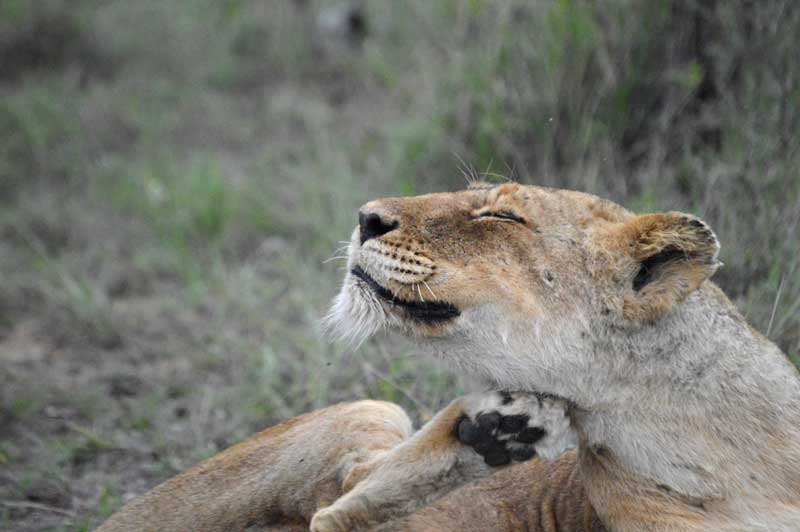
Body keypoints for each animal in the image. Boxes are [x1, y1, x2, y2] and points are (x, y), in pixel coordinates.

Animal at [97, 182, 800, 531]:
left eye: (502, 215)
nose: (365, 217)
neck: (723, 447)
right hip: (369, 408)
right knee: (341, 498)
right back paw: (497, 431)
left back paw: (501, 432)